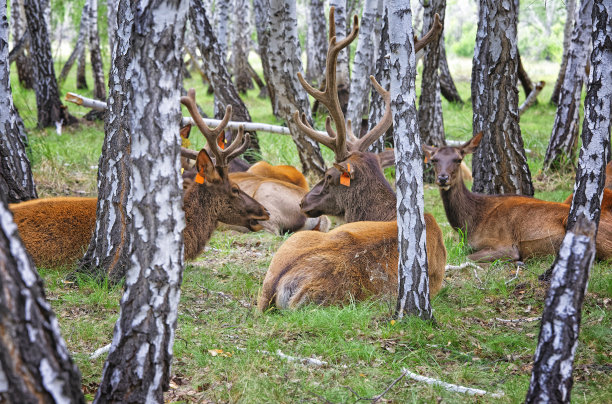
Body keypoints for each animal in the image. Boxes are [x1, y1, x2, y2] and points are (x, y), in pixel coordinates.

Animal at [420, 133, 612, 262]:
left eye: (458, 159)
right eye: (434, 160)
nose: (442, 178)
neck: (469, 224)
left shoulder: (505, 245)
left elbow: (467, 258)